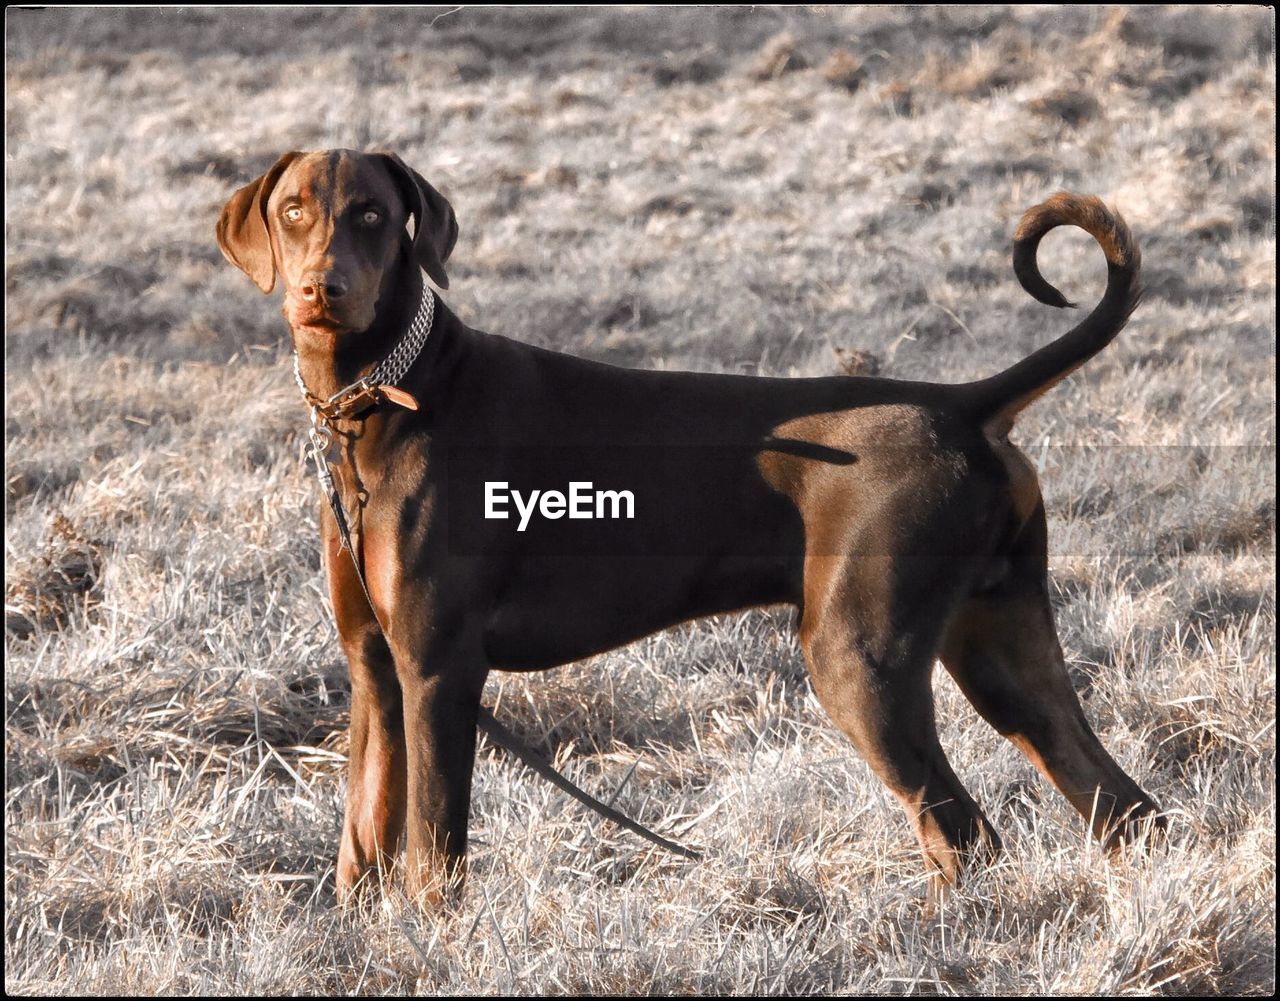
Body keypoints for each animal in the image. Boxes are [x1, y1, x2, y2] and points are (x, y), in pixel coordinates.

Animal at [217, 151, 1162, 911]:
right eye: (293, 209)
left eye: (374, 213)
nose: (323, 289)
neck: (380, 399)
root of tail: (963, 405)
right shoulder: (376, 669)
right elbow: (362, 836)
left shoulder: (438, 670)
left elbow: (432, 853)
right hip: (1000, 645)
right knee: (1119, 805)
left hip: (857, 658)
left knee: (965, 833)